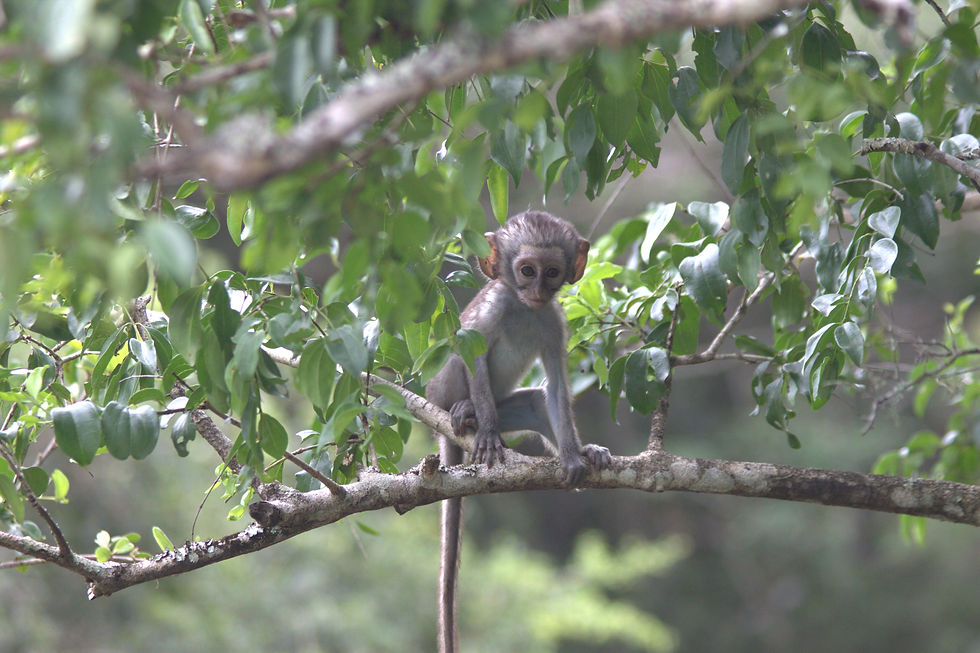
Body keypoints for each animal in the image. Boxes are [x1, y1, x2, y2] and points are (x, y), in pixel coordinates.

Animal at [425, 210, 612, 653]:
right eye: (527, 270)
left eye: (552, 272)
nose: (538, 290)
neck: (524, 309)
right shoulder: (494, 306)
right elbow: (471, 351)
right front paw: (490, 433)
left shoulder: (554, 322)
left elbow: (557, 387)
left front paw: (574, 457)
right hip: (439, 389)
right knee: (458, 354)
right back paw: (469, 414)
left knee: (537, 403)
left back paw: (584, 450)